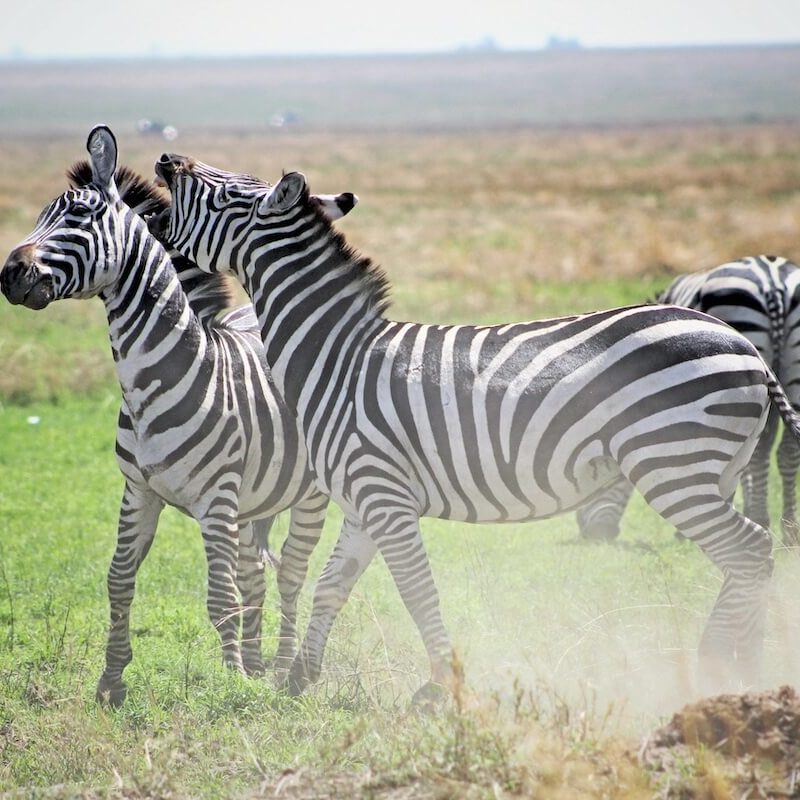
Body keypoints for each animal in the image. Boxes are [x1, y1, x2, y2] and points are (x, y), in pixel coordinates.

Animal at [0, 126, 355, 704]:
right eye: (39, 215)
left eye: (80, 217)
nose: (9, 275)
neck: (154, 379)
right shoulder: (138, 490)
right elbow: (119, 579)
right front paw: (111, 681)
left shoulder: (216, 500)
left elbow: (219, 595)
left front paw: (233, 681)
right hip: (254, 501)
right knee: (255, 573)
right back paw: (259, 660)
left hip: (307, 495)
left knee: (290, 573)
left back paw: (280, 666)